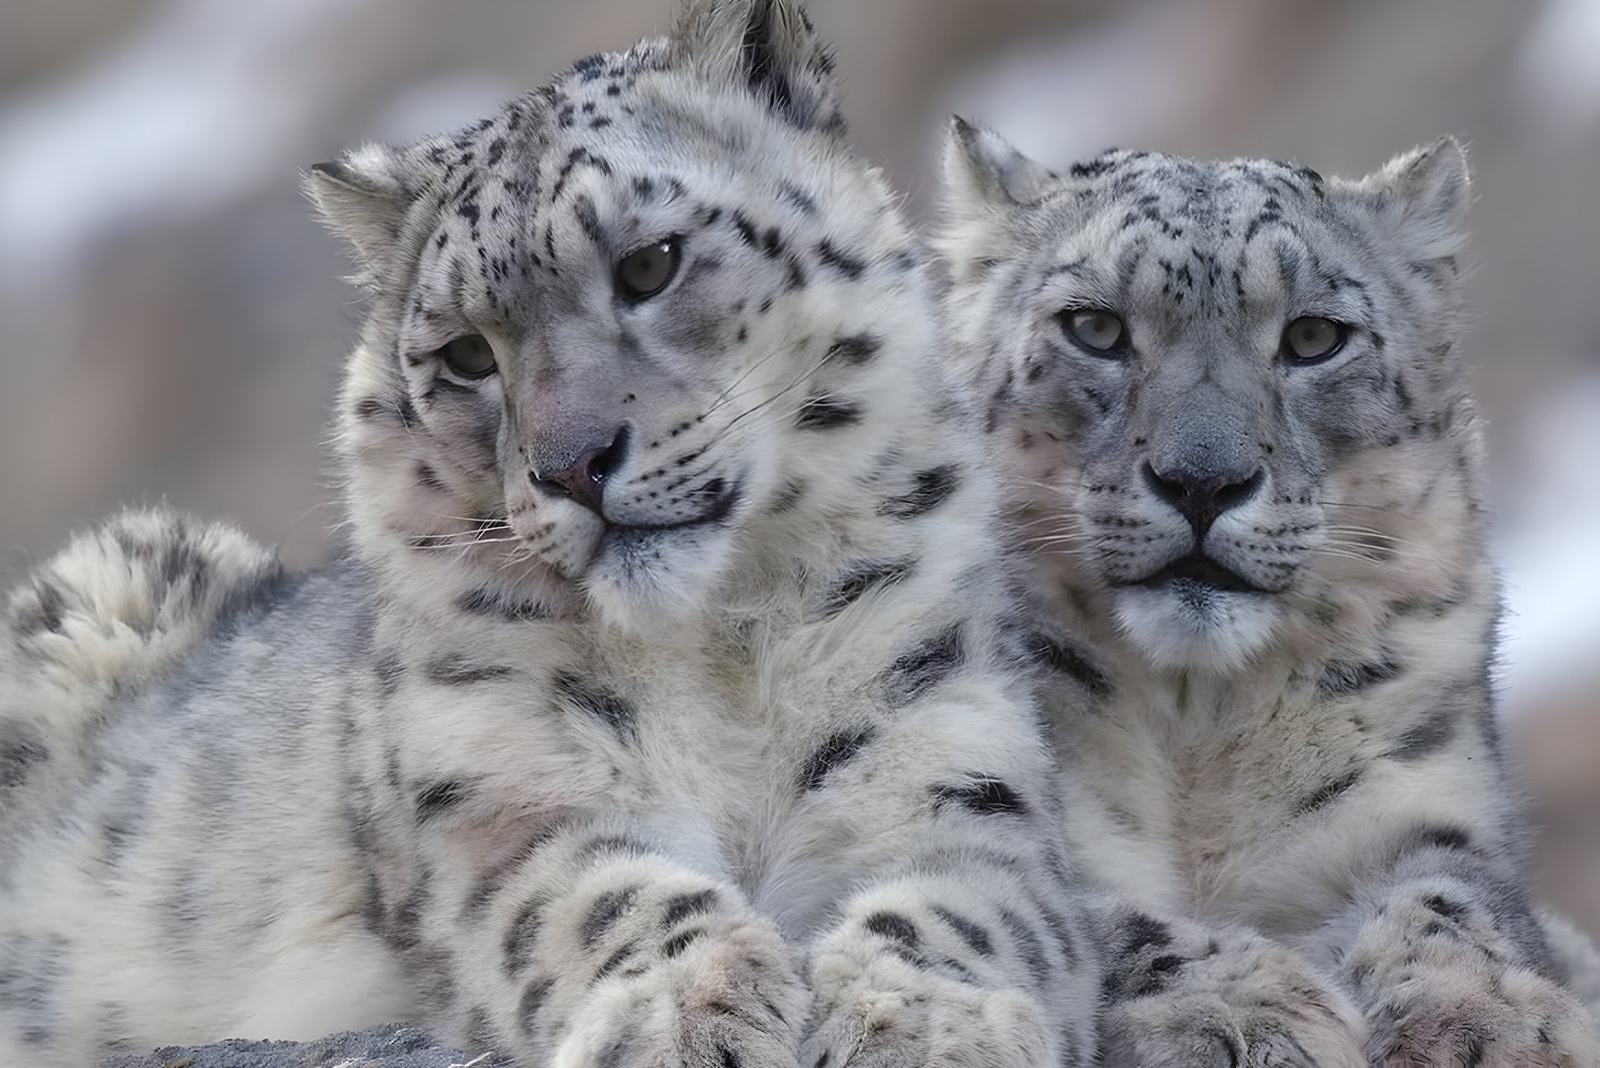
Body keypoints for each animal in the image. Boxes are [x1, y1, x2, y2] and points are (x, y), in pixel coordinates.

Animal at [0, 4, 1107, 1061]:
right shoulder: (499, 795)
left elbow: (966, 903)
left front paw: (922, 1021)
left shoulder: (949, 747)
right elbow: (598, 899)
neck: (724, 653)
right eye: (463, 355)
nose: (573, 465)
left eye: (651, 262)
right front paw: (681, 1014)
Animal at [934, 120, 1600, 1061]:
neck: (1201, 726)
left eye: (1316, 337)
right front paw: (1245, 1011)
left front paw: (1490, 1017)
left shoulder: (1421, 806)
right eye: (1095, 327)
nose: (1203, 481)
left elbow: (1454, 899)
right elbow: (1094, 918)